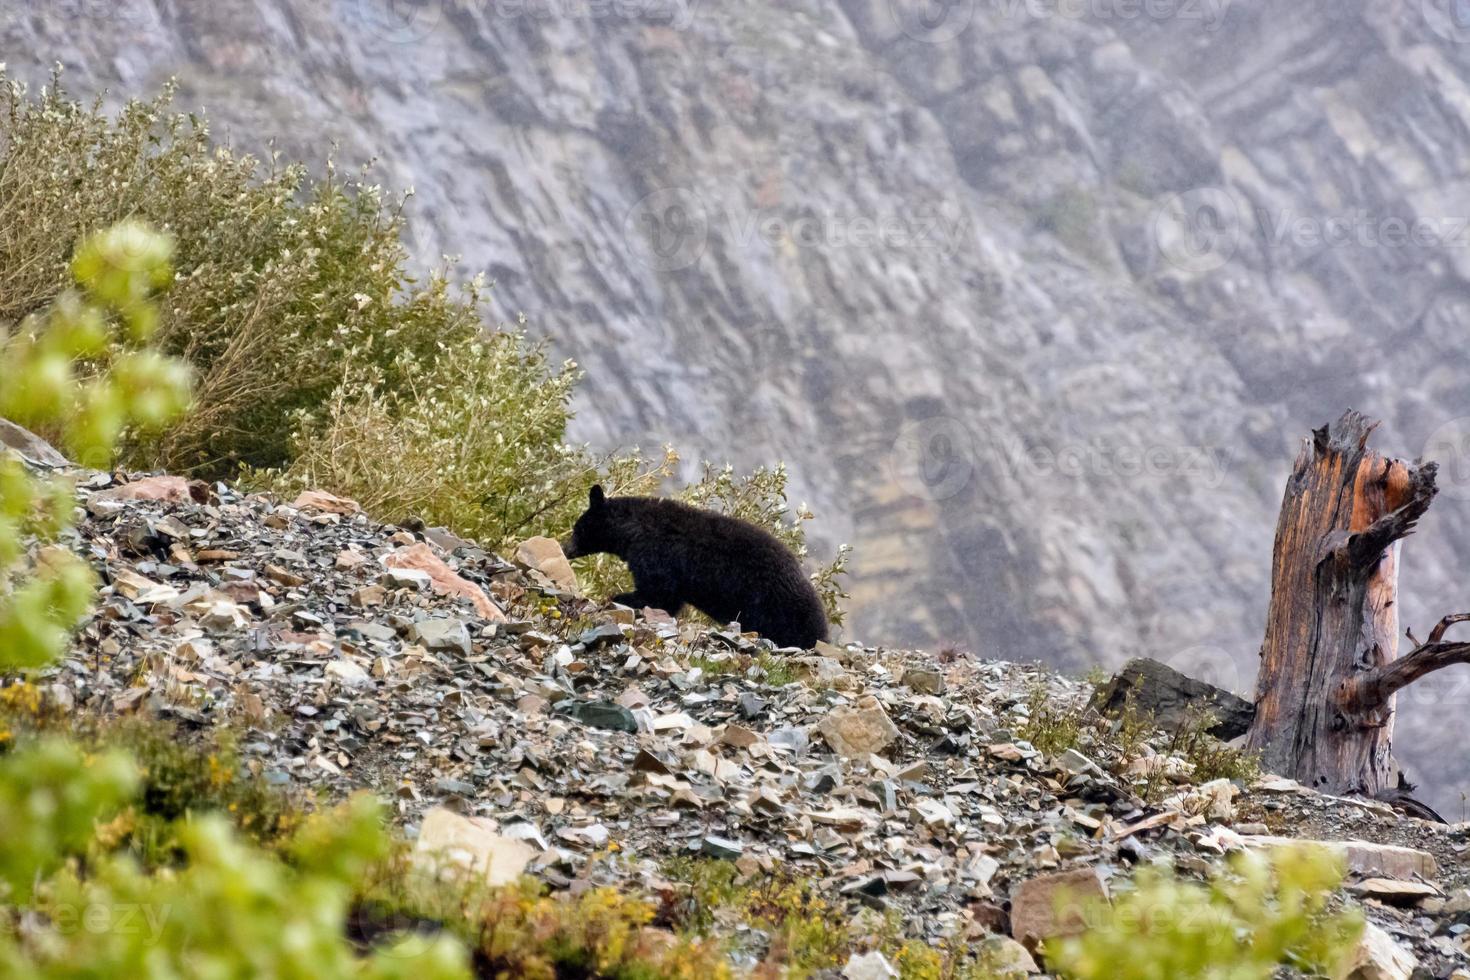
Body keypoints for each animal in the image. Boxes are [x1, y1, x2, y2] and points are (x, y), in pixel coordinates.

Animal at [561, 481, 834, 652]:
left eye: (577, 528)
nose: (565, 548)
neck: (633, 529)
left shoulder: (657, 553)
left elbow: (660, 593)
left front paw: (620, 597)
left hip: (774, 606)